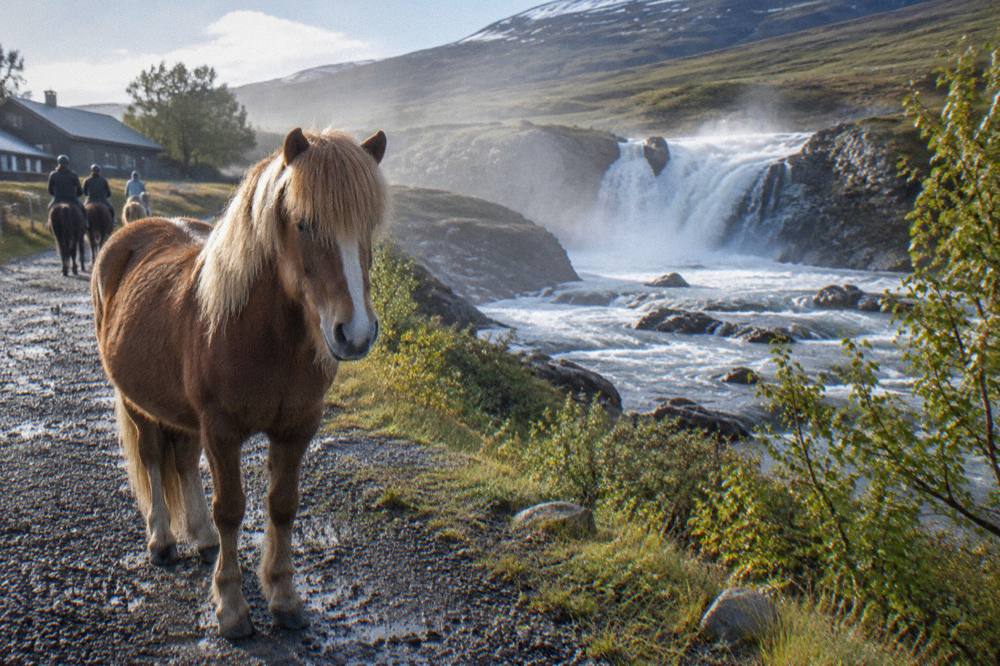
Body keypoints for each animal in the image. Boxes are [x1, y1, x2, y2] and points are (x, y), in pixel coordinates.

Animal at [91, 127, 387, 639]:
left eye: (367, 225)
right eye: (304, 224)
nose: (355, 333)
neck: (265, 338)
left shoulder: (297, 428)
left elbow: (283, 505)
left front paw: (284, 597)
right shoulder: (222, 431)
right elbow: (230, 508)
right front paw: (231, 607)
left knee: (183, 461)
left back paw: (202, 538)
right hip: (136, 402)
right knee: (153, 460)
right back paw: (161, 540)